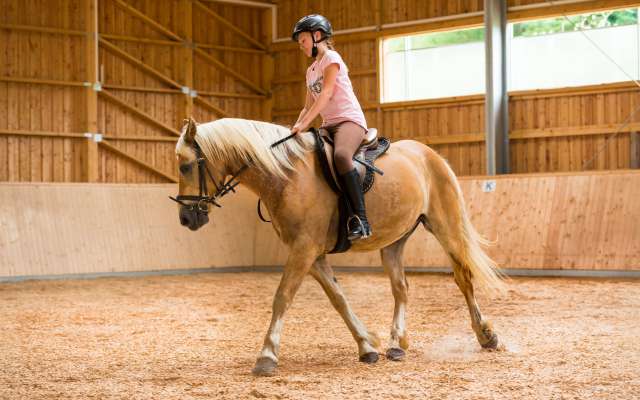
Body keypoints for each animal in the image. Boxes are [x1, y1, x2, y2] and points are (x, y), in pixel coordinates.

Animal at [172, 117, 502, 376]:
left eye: (187, 167)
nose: (186, 218)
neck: (287, 176)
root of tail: (431, 155)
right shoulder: (313, 254)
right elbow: (339, 299)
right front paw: (367, 345)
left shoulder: (304, 249)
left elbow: (282, 297)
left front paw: (266, 356)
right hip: (394, 242)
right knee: (401, 288)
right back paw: (397, 343)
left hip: (446, 227)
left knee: (464, 278)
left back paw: (486, 336)